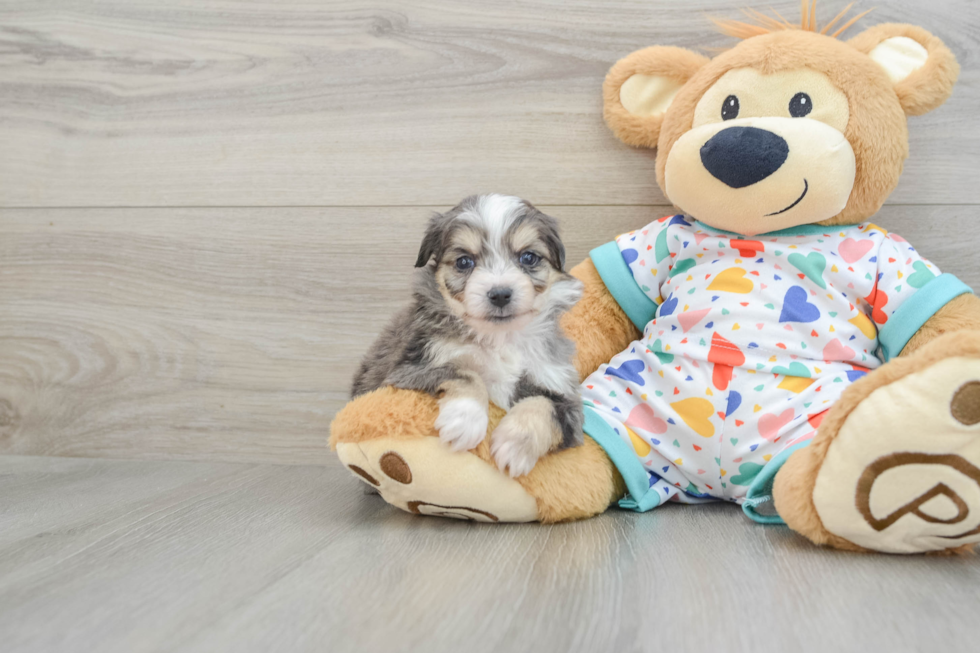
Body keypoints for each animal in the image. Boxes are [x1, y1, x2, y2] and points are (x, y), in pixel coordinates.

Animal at [350, 192, 580, 474]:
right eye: (464, 262)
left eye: (529, 258)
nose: (500, 294)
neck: (499, 337)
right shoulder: (411, 369)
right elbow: (465, 373)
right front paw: (465, 421)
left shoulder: (565, 397)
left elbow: (544, 405)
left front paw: (514, 447)